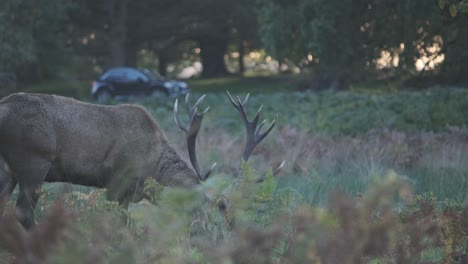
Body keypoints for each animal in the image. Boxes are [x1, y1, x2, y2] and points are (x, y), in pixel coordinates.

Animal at [0, 92, 282, 228]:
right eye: (221, 208)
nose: (231, 231)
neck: (152, 170)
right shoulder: (116, 183)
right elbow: (118, 224)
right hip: (33, 162)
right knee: (23, 212)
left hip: (8, 171)